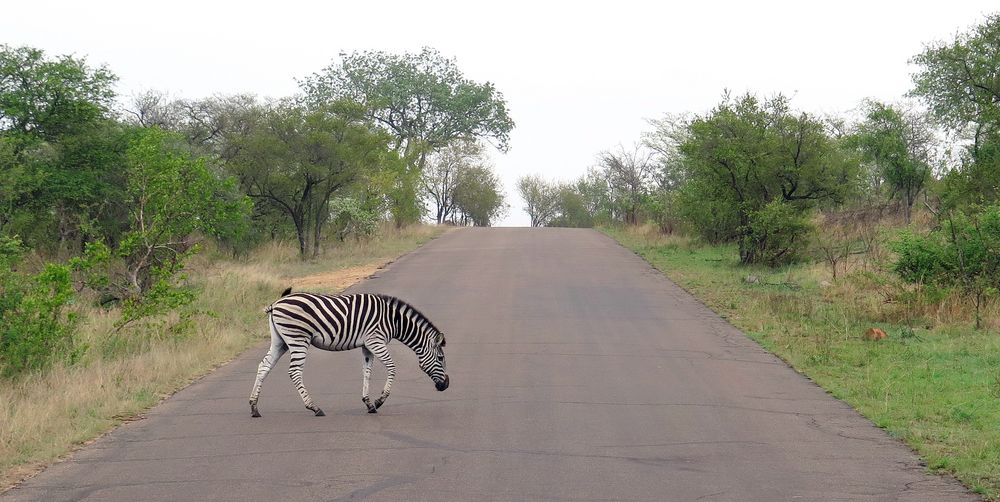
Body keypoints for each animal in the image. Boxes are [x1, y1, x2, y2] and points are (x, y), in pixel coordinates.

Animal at [250, 288, 450, 418]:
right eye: (441, 358)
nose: (446, 385)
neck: (394, 320)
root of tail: (275, 304)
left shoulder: (367, 345)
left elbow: (367, 373)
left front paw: (368, 403)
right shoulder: (376, 341)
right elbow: (392, 368)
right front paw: (379, 401)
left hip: (280, 341)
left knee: (263, 366)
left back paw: (254, 408)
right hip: (298, 339)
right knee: (294, 372)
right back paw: (314, 407)